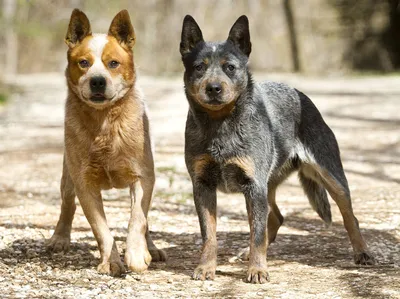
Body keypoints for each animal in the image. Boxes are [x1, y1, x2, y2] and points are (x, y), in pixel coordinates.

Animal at [47, 8, 166, 276]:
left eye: (113, 63)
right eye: (83, 63)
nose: (98, 81)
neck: (105, 124)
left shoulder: (142, 176)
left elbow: (137, 219)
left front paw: (136, 255)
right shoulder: (85, 183)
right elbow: (101, 229)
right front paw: (111, 262)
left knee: (145, 218)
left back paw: (151, 249)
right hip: (67, 176)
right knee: (67, 205)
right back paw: (59, 238)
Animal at [180, 15, 376, 284]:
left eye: (230, 67)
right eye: (199, 67)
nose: (214, 88)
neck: (220, 125)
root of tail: (300, 94)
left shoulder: (254, 186)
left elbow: (257, 233)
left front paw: (257, 270)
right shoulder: (203, 186)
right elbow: (209, 235)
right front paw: (206, 267)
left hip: (330, 177)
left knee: (349, 217)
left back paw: (362, 252)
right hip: (267, 185)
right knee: (276, 217)